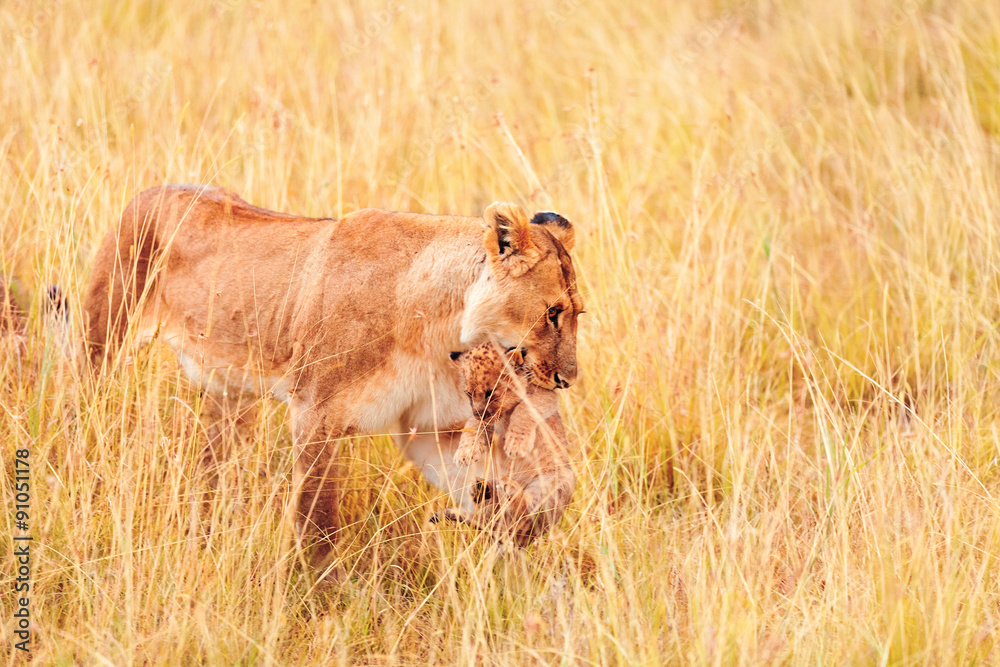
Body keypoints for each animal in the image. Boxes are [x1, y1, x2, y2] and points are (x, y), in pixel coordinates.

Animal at [433, 342, 575, 546]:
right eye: (468, 393)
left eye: (490, 392)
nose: (479, 413)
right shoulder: (483, 420)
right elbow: (472, 425)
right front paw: (465, 452)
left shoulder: (547, 395)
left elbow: (523, 409)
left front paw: (515, 445)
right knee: (492, 518)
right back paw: (482, 490)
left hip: (555, 481)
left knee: (525, 512)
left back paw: (510, 488)